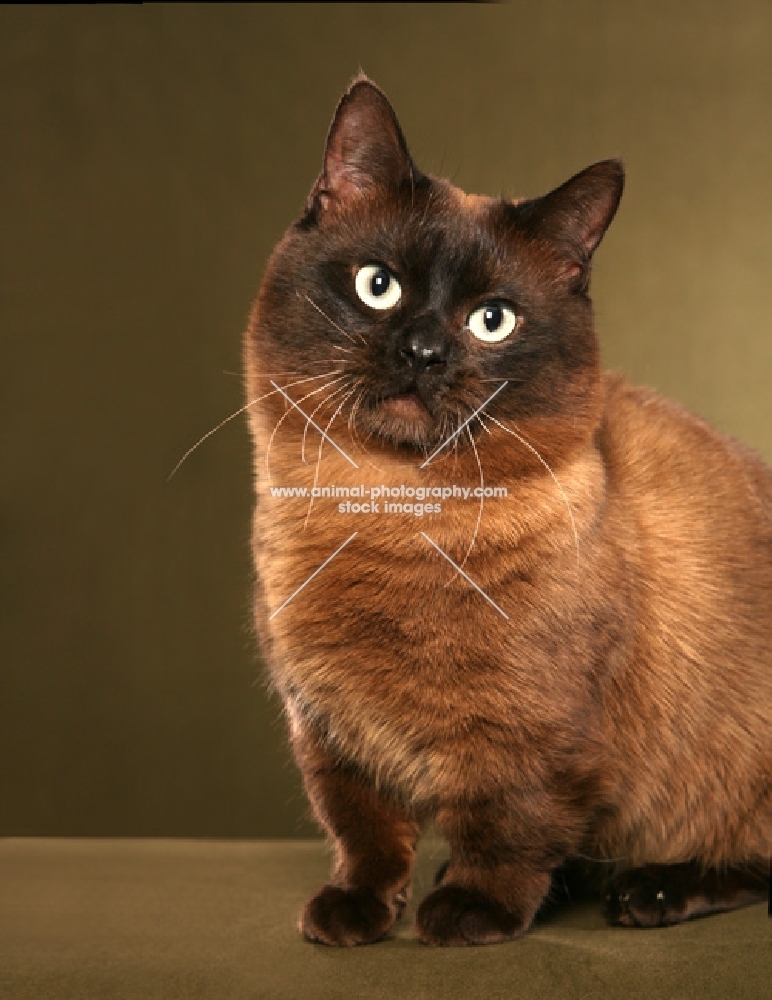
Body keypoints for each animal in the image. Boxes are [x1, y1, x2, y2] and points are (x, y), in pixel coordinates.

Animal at [243, 72, 772, 944]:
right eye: (378, 286)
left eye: (492, 320)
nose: (424, 352)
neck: (394, 513)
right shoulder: (328, 728)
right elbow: (363, 832)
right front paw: (357, 913)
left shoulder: (534, 739)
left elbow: (508, 828)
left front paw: (468, 913)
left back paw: (649, 892)